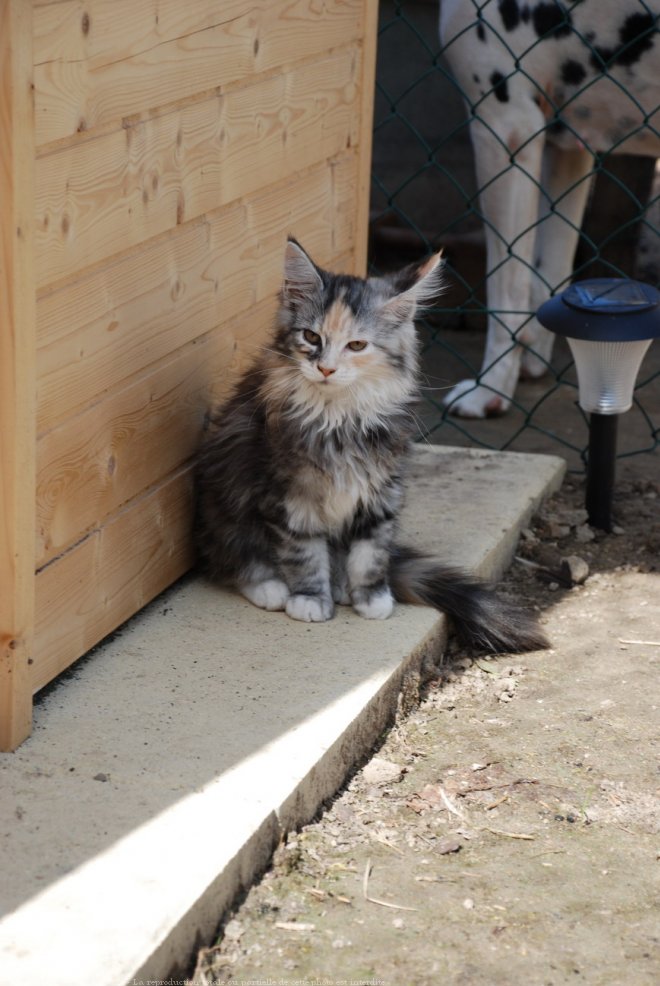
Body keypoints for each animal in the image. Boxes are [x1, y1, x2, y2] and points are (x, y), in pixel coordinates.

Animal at [195, 238, 548, 652]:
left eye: (357, 344)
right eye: (311, 337)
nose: (326, 368)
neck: (338, 414)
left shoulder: (382, 487)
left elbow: (371, 551)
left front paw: (372, 597)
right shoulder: (288, 494)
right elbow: (303, 551)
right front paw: (310, 599)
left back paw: (341, 586)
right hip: (225, 505)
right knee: (232, 558)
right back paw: (271, 587)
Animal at [438, 0, 660, 416]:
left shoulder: (506, 127)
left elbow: (507, 288)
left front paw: (490, 388)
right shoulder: (567, 146)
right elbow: (547, 274)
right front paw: (533, 359)